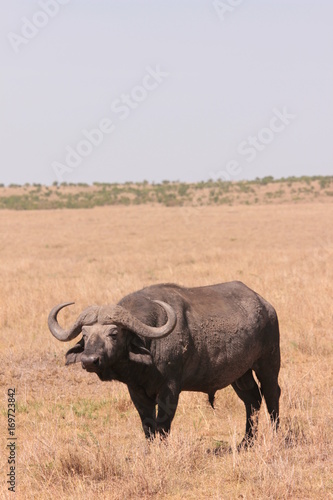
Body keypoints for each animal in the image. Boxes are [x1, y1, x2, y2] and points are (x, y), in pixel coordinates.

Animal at [47, 280, 280, 448]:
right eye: (85, 335)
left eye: (113, 333)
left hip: (268, 362)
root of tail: (266, 306)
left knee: (271, 395)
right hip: (240, 374)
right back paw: (246, 442)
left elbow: (163, 424)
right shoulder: (136, 391)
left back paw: (276, 436)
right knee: (252, 400)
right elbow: (147, 425)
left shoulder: (170, 389)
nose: (89, 360)